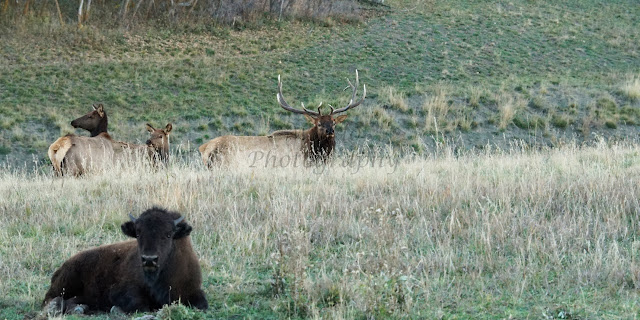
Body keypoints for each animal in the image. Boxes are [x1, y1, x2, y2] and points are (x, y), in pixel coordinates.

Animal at [42, 208, 208, 316]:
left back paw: (80, 308)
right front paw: (116, 310)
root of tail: (61, 269)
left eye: (168, 234)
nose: (149, 259)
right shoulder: (120, 292)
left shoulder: (192, 291)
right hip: (66, 284)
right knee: (50, 299)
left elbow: (201, 305)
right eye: (138, 233)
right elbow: (140, 305)